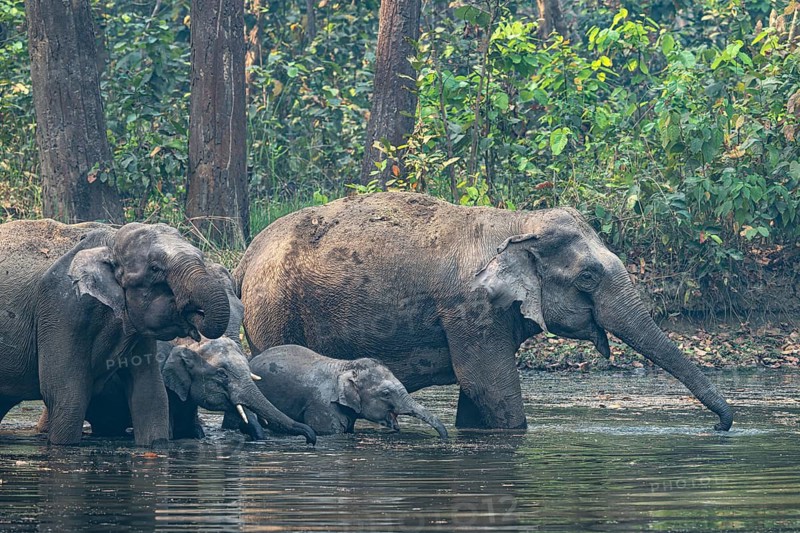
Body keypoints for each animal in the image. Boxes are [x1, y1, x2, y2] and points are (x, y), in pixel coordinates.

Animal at [0, 219, 231, 445]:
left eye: (201, 257)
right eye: (155, 268)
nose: (194, 317)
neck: (111, 240)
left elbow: (150, 394)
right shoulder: (62, 309)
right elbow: (65, 395)